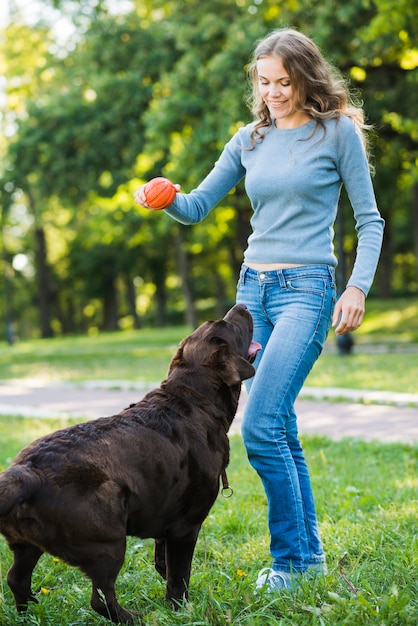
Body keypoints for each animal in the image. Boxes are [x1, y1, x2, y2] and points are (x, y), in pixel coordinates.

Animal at [0, 302, 262, 620]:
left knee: (16, 578)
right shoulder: (186, 525)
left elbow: (164, 563)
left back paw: (30, 612)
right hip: (107, 541)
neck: (196, 399)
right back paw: (135, 617)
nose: (242, 305)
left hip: (28, 544)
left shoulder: (168, 517)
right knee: (101, 597)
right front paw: (181, 610)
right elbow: (179, 575)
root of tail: (26, 473)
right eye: (230, 325)